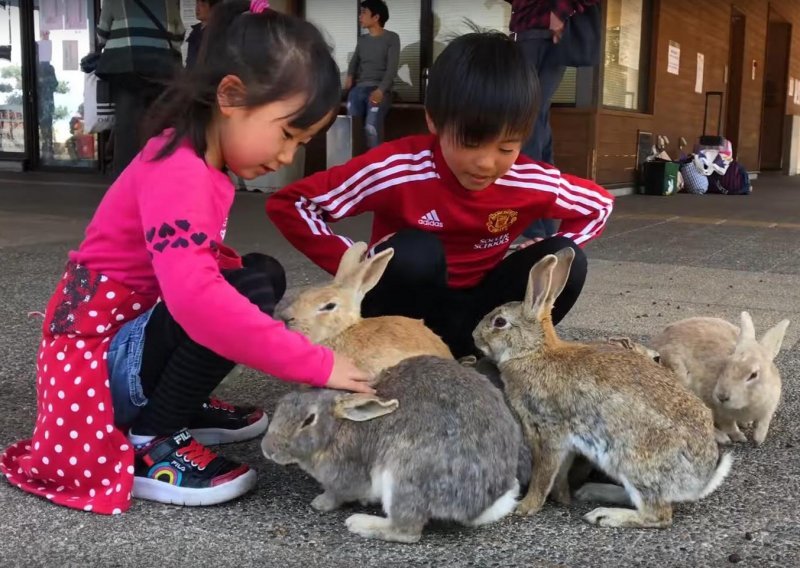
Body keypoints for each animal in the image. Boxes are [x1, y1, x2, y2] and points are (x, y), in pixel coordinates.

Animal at [262, 358, 520, 544]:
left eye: (309, 420)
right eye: (283, 403)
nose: (267, 449)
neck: (338, 428)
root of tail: (481, 502)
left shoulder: (346, 476)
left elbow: (338, 493)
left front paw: (321, 503)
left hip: (402, 480)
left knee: (407, 531)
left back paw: (360, 523)